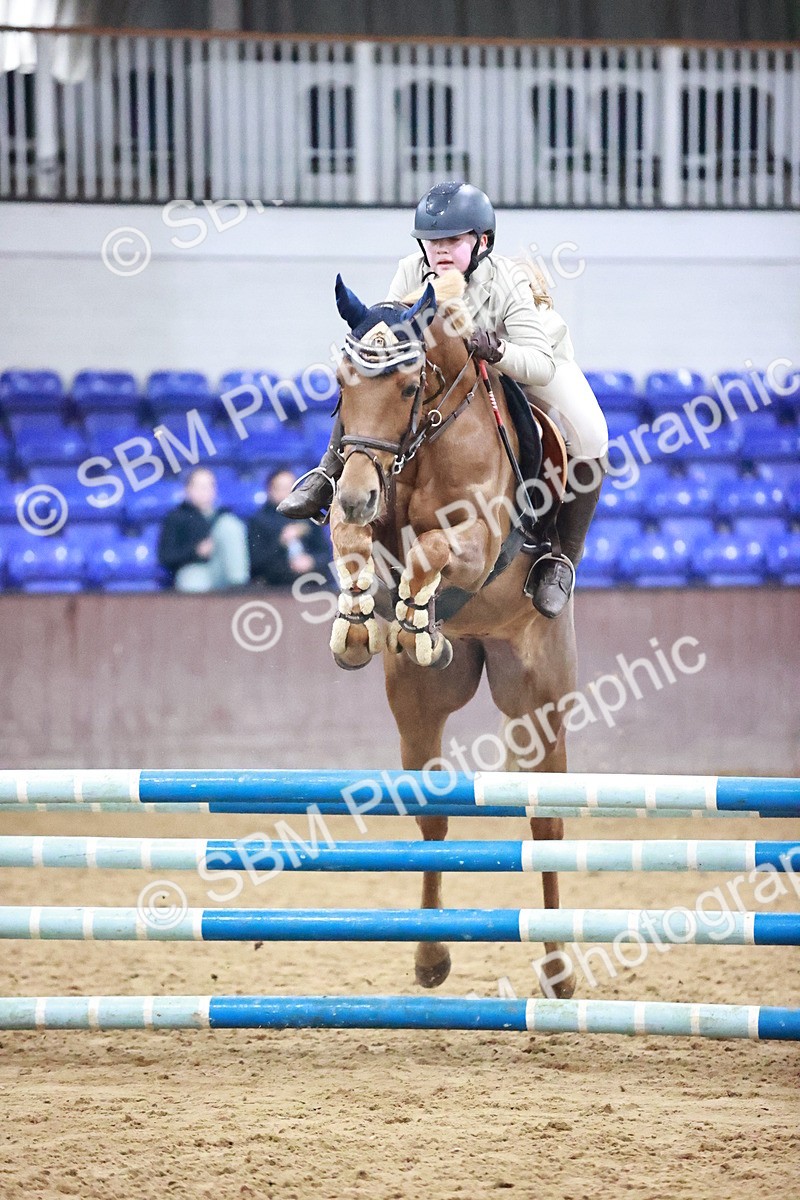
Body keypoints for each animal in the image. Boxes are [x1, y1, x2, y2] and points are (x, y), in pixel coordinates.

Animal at [327, 271, 577, 999]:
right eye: (340, 381)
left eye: (409, 386)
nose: (357, 492)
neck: (427, 439)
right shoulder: (360, 507)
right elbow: (352, 542)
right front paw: (360, 625)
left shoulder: (480, 538)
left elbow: (434, 548)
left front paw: (415, 616)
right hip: (419, 704)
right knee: (432, 815)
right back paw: (430, 956)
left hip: (538, 699)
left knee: (546, 822)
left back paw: (558, 971)